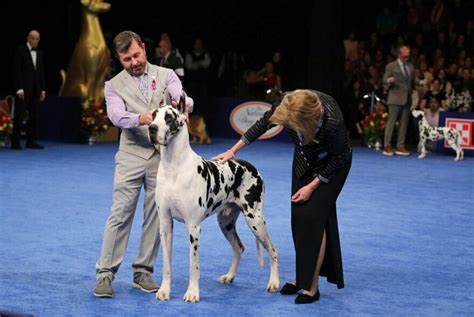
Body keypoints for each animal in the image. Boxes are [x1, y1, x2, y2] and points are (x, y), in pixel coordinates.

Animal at [148, 96, 280, 302]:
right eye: (153, 115)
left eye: (169, 117)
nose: (152, 128)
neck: (174, 166)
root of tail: (252, 166)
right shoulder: (165, 223)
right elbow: (167, 264)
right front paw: (164, 290)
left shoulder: (193, 226)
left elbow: (193, 265)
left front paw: (192, 293)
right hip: (225, 222)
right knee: (239, 248)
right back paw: (230, 276)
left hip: (255, 220)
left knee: (273, 250)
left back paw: (273, 283)